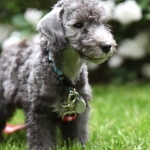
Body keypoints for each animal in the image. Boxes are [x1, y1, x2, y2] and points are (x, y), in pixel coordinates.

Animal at [0, 0, 116, 149]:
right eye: (78, 25)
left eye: (103, 23)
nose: (107, 46)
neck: (65, 74)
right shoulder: (39, 110)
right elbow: (42, 137)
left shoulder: (79, 112)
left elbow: (78, 132)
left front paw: (78, 145)